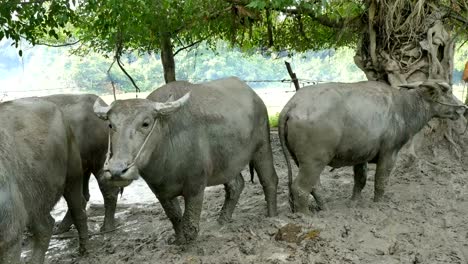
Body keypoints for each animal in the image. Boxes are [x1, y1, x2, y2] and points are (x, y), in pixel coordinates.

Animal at [0, 97, 88, 264]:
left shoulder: (10, 237)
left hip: (73, 177)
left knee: (78, 209)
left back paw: (84, 248)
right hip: (35, 198)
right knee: (45, 226)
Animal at [93, 76, 280, 243]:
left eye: (145, 123)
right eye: (111, 125)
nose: (117, 171)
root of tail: (254, 96)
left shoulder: (196, 185)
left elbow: (189, 223)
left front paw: (188, 242)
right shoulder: (160, 191)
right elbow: (175, 217)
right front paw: (178, 240)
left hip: (262, 146)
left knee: (269, 179)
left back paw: (271, 216)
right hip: (227, 163)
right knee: (235, 186)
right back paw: (223, 220)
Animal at [280, 79, 466, 213]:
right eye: (447, 92)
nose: (463, 108)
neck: (404, 108)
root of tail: (292, 104)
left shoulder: (360, 156)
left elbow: (360, 180)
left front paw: (354, 203)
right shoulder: (389, 153)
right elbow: (381, 180)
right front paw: (379, 204)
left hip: (303, 161)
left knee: (314, 186)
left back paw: (325, 209)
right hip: (314, 161)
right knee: (300, 188)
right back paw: (305, 216)